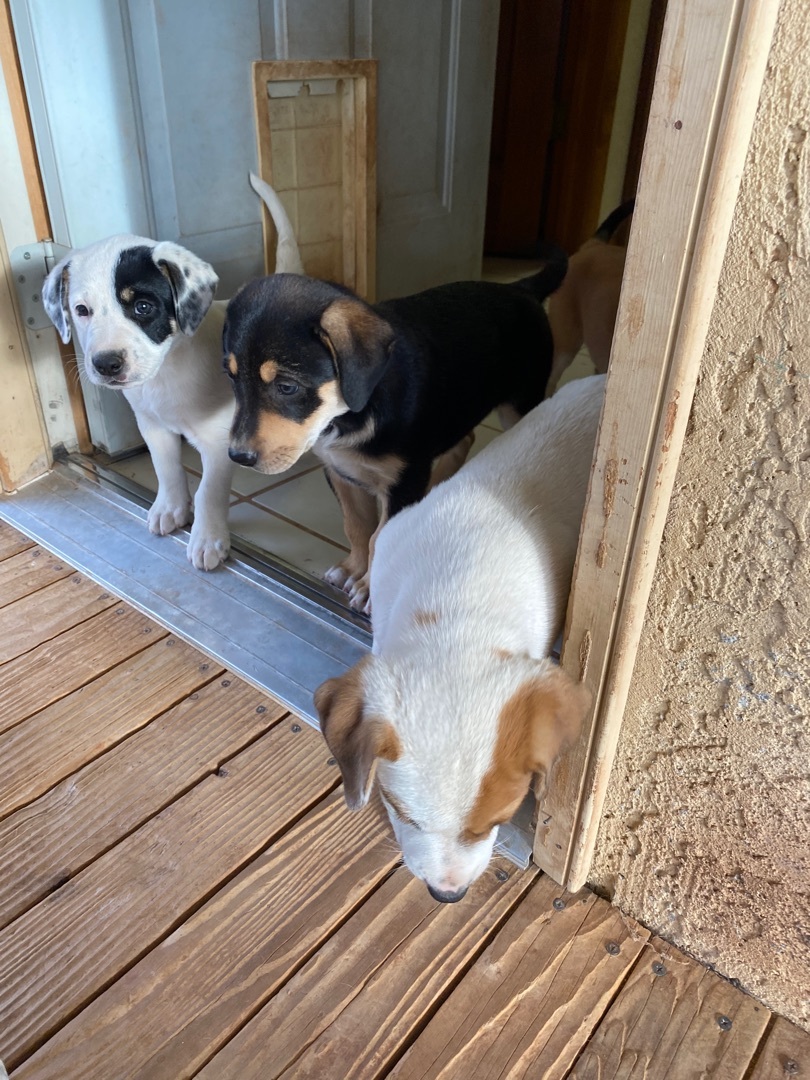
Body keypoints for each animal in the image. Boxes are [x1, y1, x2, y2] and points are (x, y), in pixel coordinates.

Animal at [42, 172, 302, 570]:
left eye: (143, 307)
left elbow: (209, 492)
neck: (166, 375)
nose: (106, 364)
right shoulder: (152, 426)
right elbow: (166, 469)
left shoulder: (217, 443)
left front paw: (207, 540)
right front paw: (170, 509)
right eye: (82, 310)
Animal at [222, 262, 565, 613]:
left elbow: (381, 538)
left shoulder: (404, 481)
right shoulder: (339, 470)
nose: (238, 457)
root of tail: (520, 288)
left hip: (519, 403)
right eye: (231, 376)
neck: (353, 413)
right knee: (464, 438)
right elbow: (357, 525)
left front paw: (371, 590)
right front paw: (352, 569)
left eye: (287, 387)